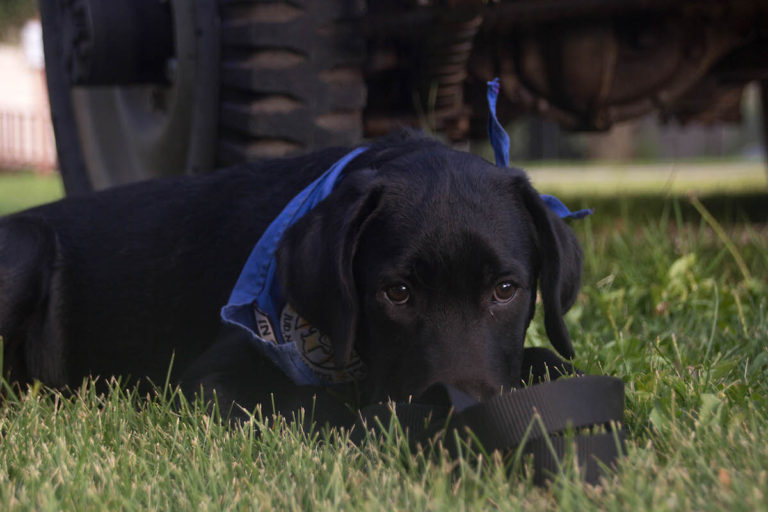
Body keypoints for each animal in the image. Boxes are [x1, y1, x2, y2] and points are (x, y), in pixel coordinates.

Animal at [0, 132, 580, 416]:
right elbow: (312, 401)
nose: (462, 407)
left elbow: (556, 363)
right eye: (396, 293)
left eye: (505, 290)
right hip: (27, 244)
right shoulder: (206, 381)